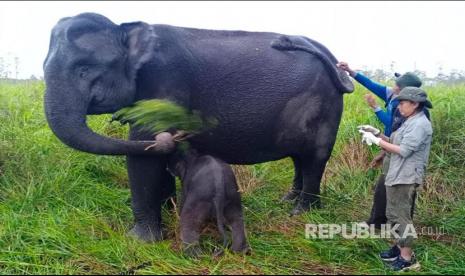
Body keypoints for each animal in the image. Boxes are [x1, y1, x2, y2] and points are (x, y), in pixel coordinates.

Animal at [43, 12, 354, 242]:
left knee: (314, 157)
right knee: (299, 157)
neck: (126, 29)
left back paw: (300, 213)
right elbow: (153, 155)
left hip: (323, 105)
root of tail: (332, 58)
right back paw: (287, 200)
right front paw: (168, 212)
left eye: (83, 70)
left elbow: (143, 155)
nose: (179, 133)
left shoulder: (165, 79)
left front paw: (139, 241)